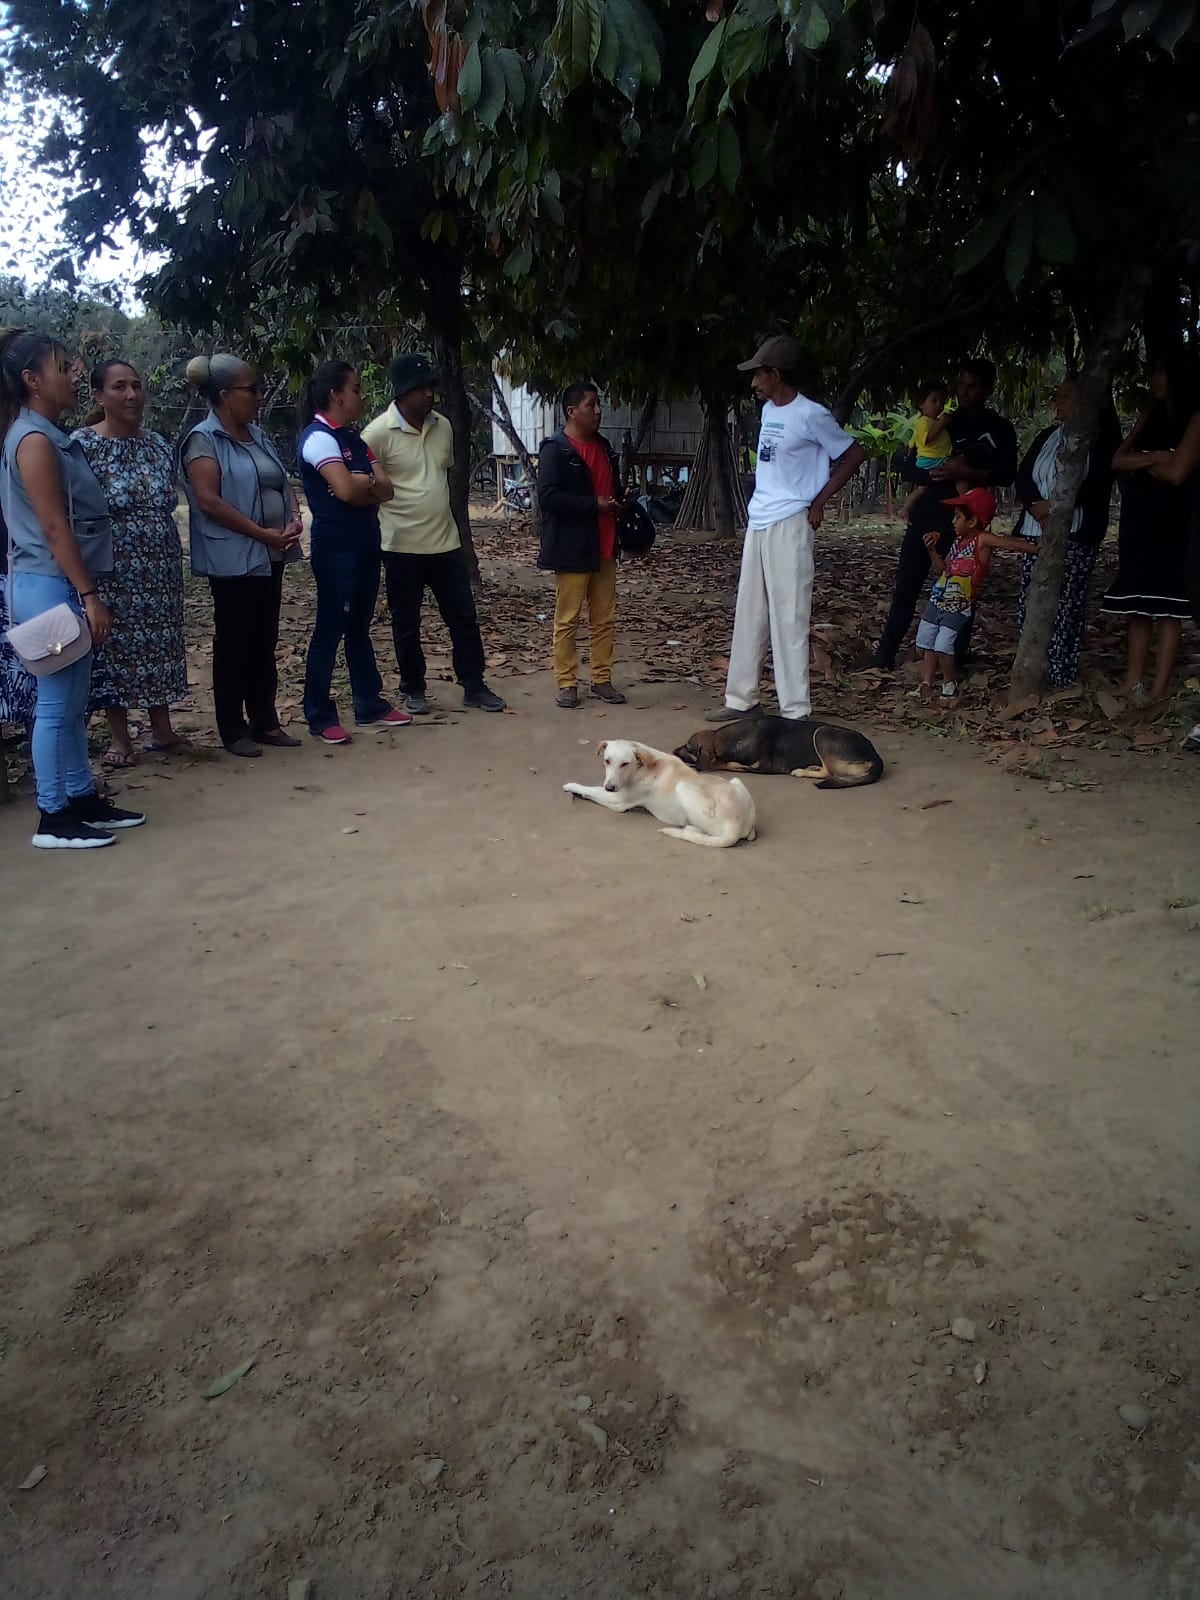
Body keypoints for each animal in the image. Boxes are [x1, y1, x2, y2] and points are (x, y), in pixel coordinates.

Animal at [563, 739, 757, 848]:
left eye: (625, 764)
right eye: (607, 760)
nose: (609, 787)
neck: (643, 764)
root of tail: (737, 823)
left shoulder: (618, 801)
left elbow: (589, 788)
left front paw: (571, 786)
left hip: (683, 787)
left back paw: (689, 828)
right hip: (736, 781)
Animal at [675, 715, 883, 789]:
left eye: (689, 748)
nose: (674, 750)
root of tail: (877, 759)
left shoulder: (763, 768)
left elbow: (729, 764)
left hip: (822, 733)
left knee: (829, 772)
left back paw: (801, 771)